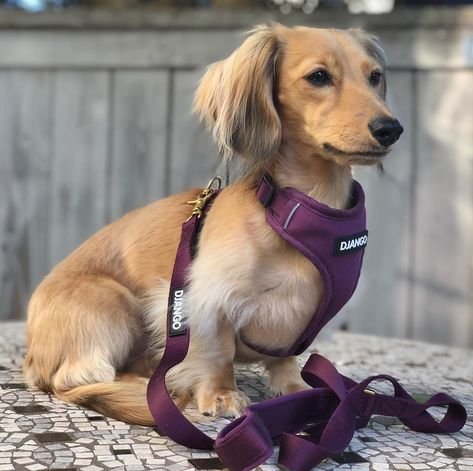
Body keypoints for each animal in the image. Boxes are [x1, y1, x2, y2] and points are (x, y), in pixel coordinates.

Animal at [23, 24, 402, 426]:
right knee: (80, 377)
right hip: (114, 302)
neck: (298, 211)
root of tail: (33, 357)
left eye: (375, 77)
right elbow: (216, 350)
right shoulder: (201, 298)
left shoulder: (300, 315)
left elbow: (286, 358)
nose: (390, 129)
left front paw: (295, 389)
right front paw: (220, 393)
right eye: (318, 77)